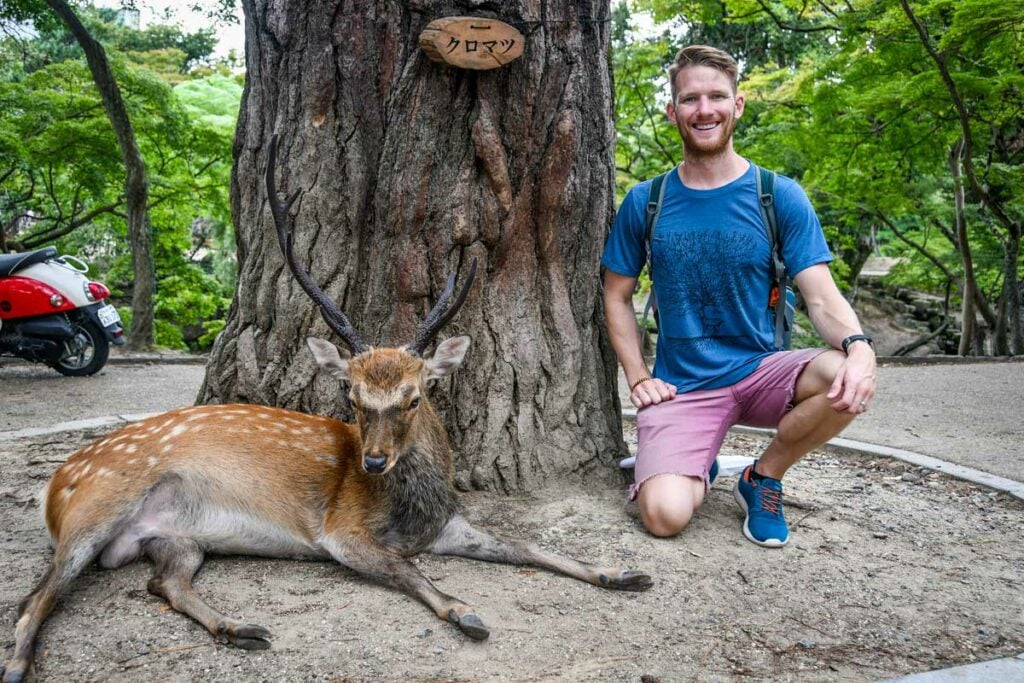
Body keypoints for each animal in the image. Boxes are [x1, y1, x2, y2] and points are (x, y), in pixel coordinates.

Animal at [0, 136, 651, 679]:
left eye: (415, 396)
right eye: (353, 398)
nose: (374, 462)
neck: (413, 512)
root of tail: (55, 481)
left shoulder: (452, 523)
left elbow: (533, 548)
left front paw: (623, 574)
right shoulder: (343, 532)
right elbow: (411, 570)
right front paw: (465, 611)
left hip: (175, 538)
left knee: (164, 586)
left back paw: (242, 629)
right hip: (97, 506)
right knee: (34, 597)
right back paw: (18, 664)